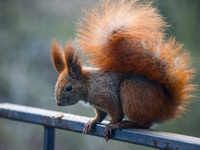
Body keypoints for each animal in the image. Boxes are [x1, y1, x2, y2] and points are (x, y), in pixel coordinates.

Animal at [50, 0, 195, 141]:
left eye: (68, 87)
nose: (58, 103)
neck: (88, 84)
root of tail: (167, 106)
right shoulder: (98, 105)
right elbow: (100, 115)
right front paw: (93, 121)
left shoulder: (106, 94)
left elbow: (116, 113)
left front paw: (111, 124)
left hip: (131, 91)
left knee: (144, 123)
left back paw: (124, 124)